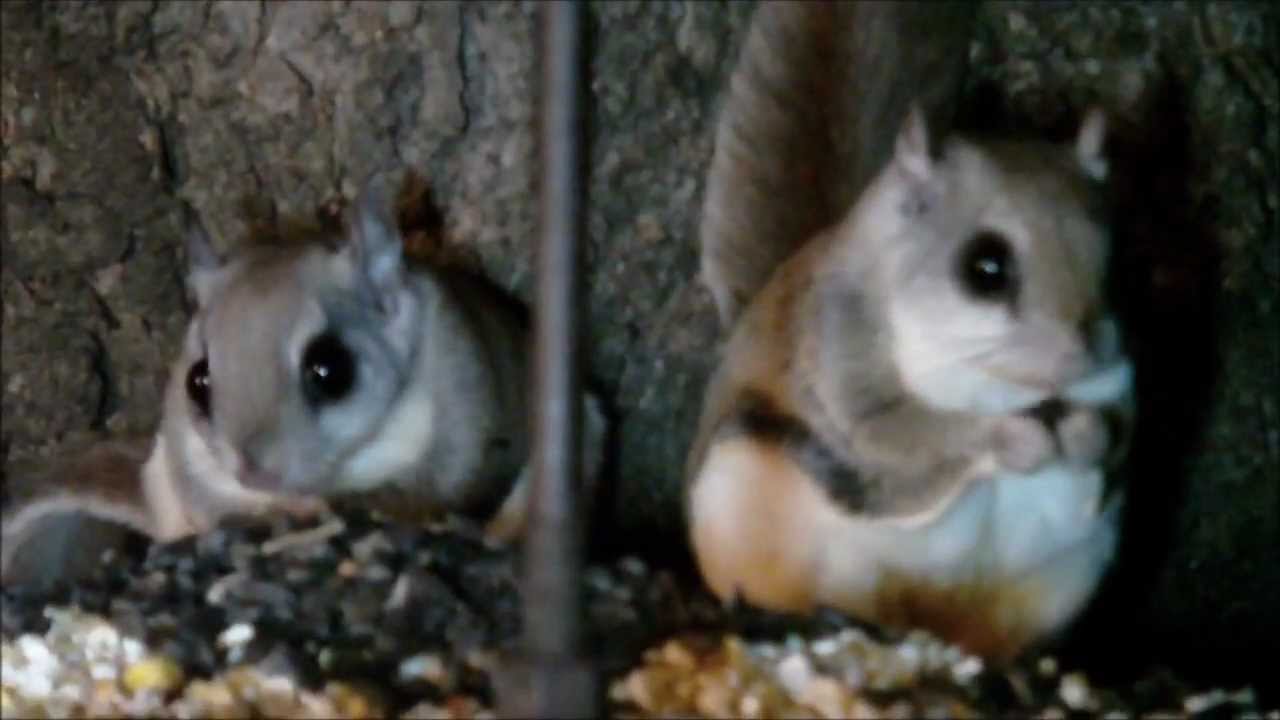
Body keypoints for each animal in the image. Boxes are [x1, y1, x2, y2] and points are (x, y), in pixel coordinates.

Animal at [1, 172, 608, 585]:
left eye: (331, 370)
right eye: (198, 382)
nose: (252, 472)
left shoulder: (461, 418)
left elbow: (428, 489)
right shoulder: (196, 466)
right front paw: (281, 514)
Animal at [685, 1, 1135, 662]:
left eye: (1122, 262)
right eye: (984, 267)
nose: (1079, 356)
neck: (1006, 384)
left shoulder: (1124, 376)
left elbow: (1121, 427)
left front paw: (1084, 433)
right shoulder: (839, 357)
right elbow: (900, 434)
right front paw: (1012, 438)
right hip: (738, 494)